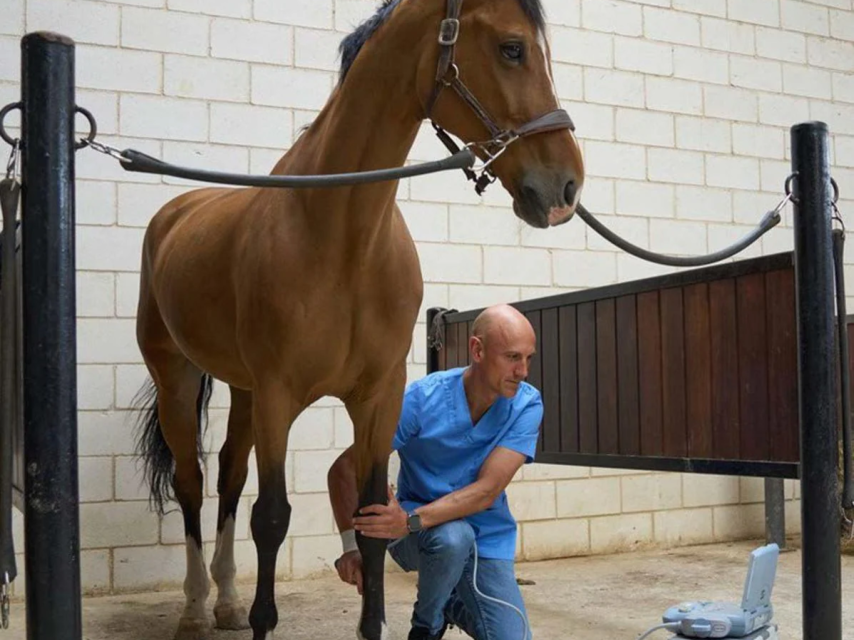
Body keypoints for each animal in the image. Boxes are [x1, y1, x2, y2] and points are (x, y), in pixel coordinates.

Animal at [135, 0, 580, 636]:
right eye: (512, 48)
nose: (566, 186)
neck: (343, 237)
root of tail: (174, 213)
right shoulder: (279, 395)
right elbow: (271, 518)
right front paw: (260, 617)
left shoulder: (378, 396)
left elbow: (371, 521)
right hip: (179, 376)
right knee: (191, 484)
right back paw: (196, 608)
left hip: (243, 392)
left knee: (228, 475)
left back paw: (225, 601)